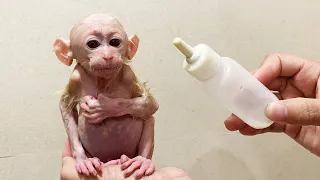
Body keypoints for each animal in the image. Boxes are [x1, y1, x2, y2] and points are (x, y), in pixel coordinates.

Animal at [54, 14, 160, 179]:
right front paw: (83, 160)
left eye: (115, 42)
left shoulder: (128, 75)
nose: (108, 56)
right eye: (93, 44)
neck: (103, 81)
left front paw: (104, 108)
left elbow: (152, 104)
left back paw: (142, 161)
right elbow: (64, 106)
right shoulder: (75, 77)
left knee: (148, 117)